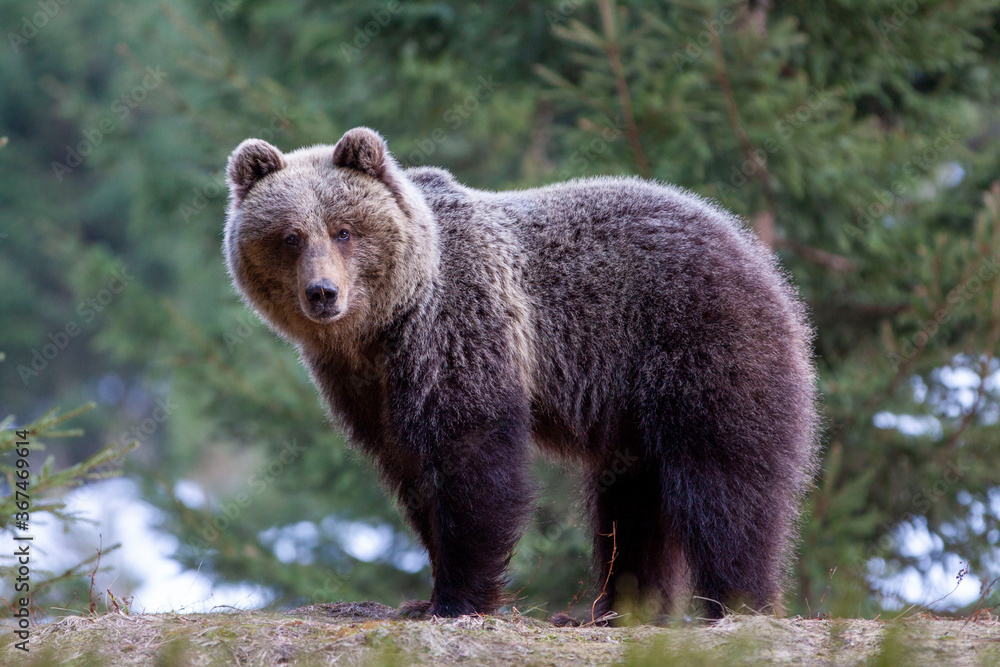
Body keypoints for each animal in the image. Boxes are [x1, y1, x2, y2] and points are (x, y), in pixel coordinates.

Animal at [223, 127, 819, 622]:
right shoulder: (365, 386)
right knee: (633, 505)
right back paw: (617, 609)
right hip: (636, 412)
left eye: (344, 230)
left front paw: (455, 598)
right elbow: (412, 472)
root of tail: (758, 255)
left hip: (701, 346)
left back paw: (737, 602)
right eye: (289, 236)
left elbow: (472, 459)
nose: (323, 293)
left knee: (725, 482)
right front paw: (426, 594)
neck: (385, 327)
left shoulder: (459, 331)